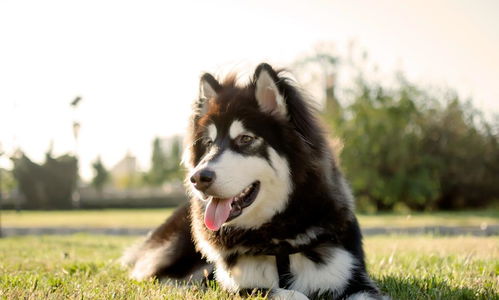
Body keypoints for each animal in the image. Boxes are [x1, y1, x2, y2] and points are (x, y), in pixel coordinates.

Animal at [123, 63, 384, 300]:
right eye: (209, 143)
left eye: (245, 139)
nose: (197, 178)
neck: (278, 238)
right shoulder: (239, 286)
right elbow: (292, 294)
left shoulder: (354, 279)